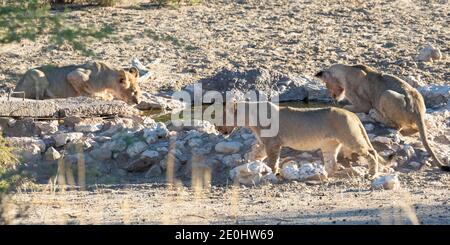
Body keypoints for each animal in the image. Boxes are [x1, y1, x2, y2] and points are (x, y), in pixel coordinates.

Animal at [13, 61, 142, 104]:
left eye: (139, 92)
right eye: (134, 91)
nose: (138, 102)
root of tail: (15, 89)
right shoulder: (74, 74)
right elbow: (87, 92)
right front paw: (99, 96)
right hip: (39, 74)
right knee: (38, 98)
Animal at [215, 101, 384, 178]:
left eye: (223, 117)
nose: (217, 128)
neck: (249, 118)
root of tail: (352, 114)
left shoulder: (273, 143)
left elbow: (272, 161)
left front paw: (271, 173)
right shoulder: (265, 143)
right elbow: (256, 154)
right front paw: (252, 165)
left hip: (351, 137)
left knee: (372, 152)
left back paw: (372, 173)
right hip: (329, 144)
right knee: (332, 162)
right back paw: (323, 175)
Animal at [314, 64, 448, 171]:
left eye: (327, 84)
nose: (332, 96)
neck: (345, 70)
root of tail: (417, 109)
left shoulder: (363, 104)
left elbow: (347, 107)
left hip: (386, 94)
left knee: (398, 126)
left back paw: (374, 115)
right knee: (412, 128)